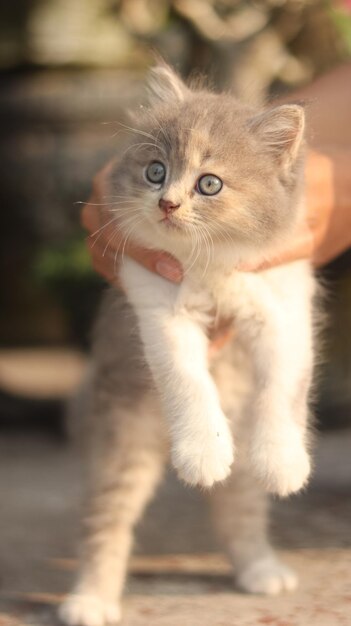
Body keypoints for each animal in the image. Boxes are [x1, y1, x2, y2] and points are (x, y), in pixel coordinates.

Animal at [59, 64, 316, 624]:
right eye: (156, 171)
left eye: (209, 183)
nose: (167, 202)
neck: (211, 263)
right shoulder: (157, 306)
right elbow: (187, 380)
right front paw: (202, 452)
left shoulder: (287, 306)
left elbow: (285, 387)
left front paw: (284, 461)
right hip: (121, 441)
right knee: (105, 523)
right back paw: (90, 599)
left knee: (239, 511)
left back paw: (261, 569)